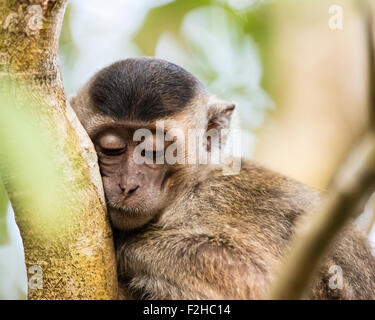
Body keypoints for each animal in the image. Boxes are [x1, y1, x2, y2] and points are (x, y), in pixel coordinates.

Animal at [70, 56, 375, 298]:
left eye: (153, 151)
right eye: (112, 148)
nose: (128, 185)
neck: (189, 189)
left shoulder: (218, 200)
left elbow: (261, 282)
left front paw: (126, 243)